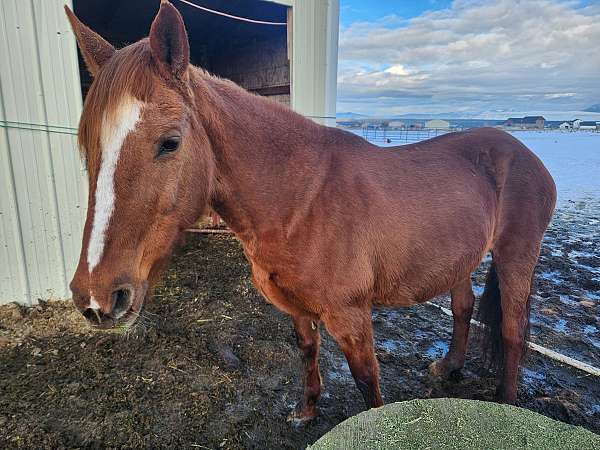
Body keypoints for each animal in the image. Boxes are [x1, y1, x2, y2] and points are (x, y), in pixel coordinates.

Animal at [65, 1, 552, 422]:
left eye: (170, 142)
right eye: (87, 145)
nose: (97, 298)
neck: (302, 201)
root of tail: (522, 151)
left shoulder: (352, 316)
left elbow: (367, 382)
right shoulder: (298, 310)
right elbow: (307, 353)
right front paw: (306, 411)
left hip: (515, 258)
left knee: (512, 331)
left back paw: (507, 403)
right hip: (459, 260)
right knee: (463, 307)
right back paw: (449, 368)